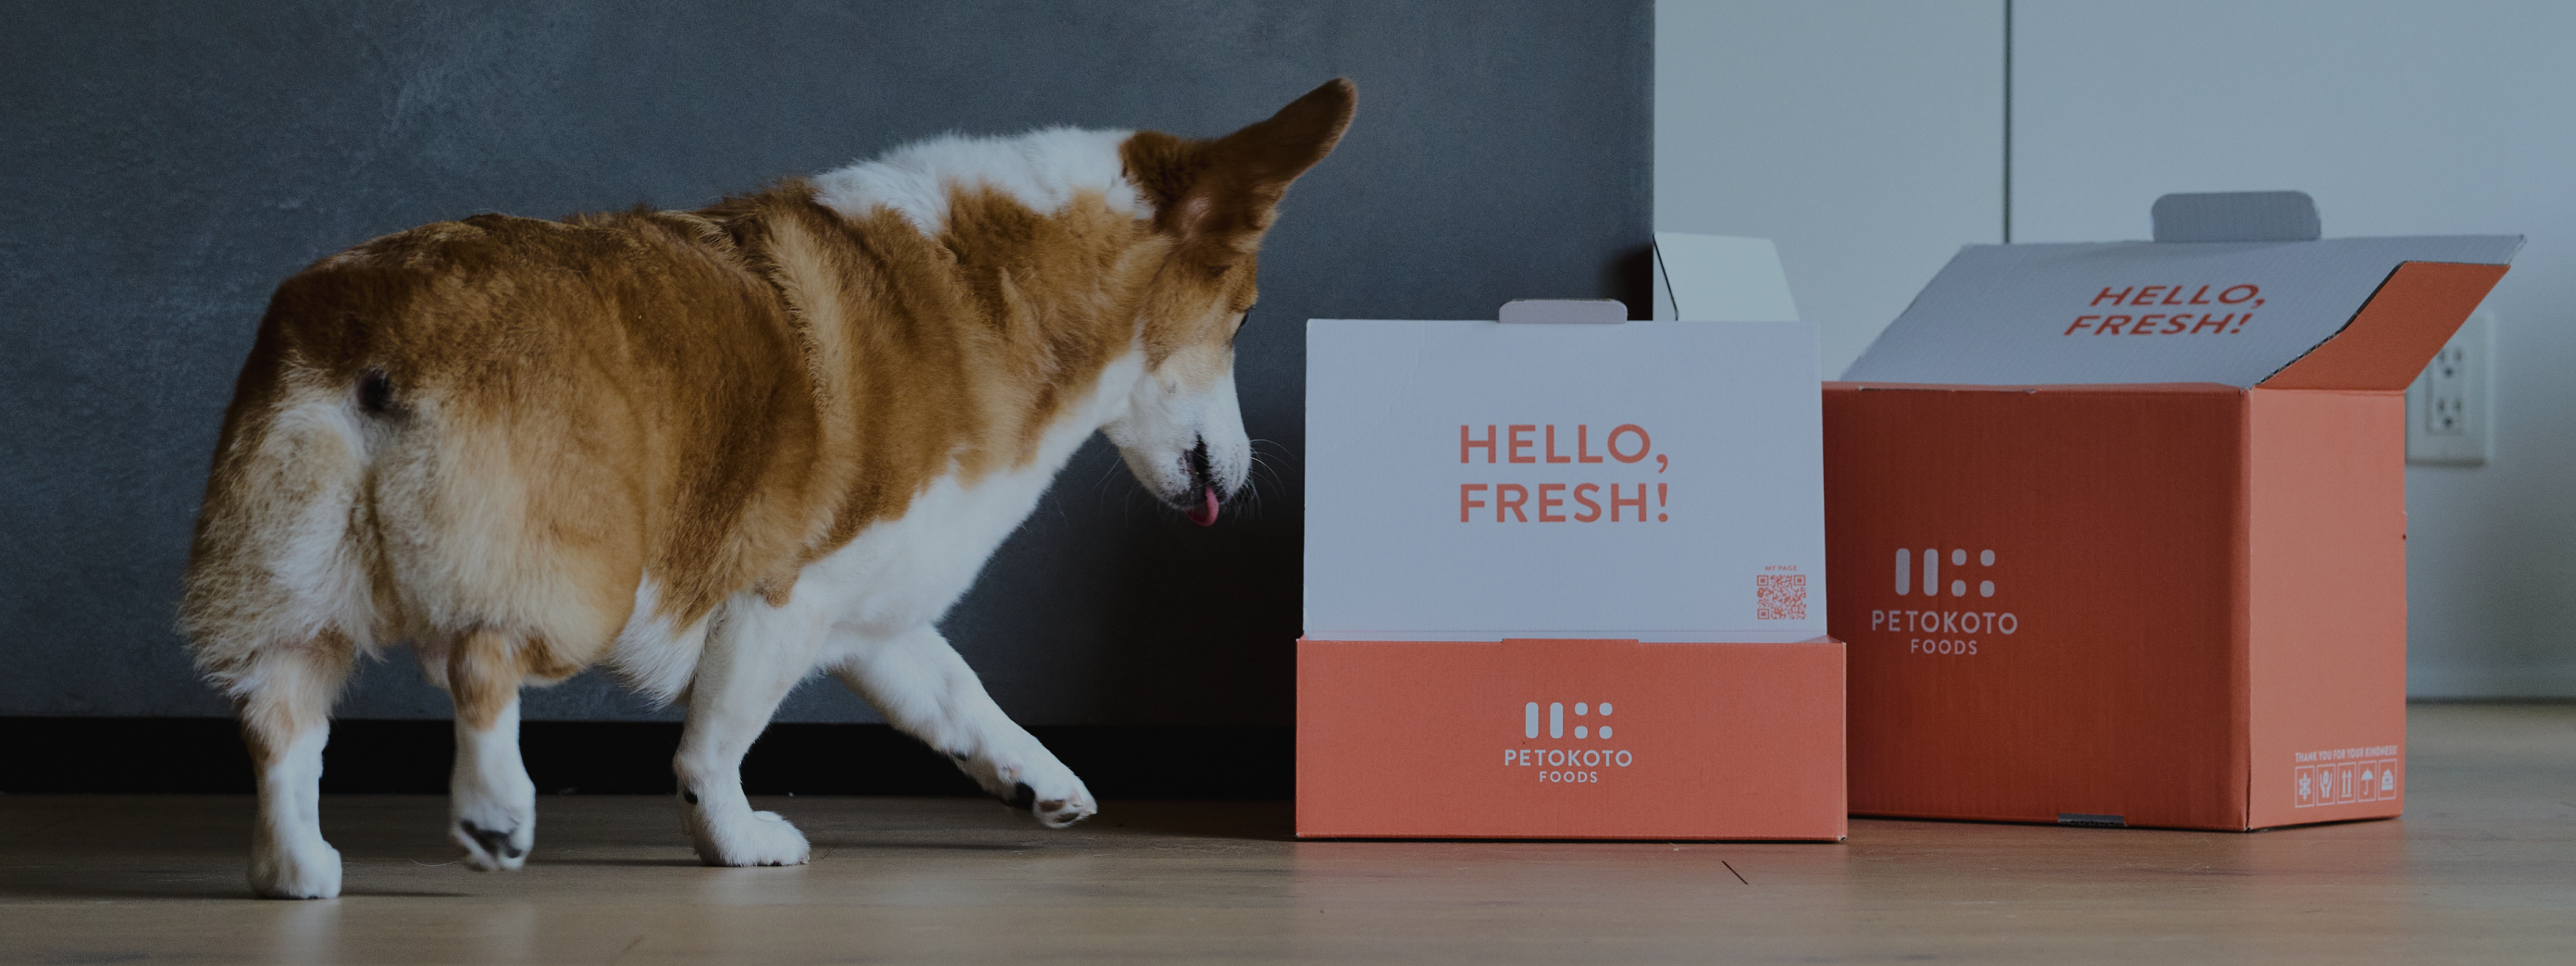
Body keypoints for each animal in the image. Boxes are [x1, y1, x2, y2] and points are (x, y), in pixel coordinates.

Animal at [179, 79, 1354, 899]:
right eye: (1244, 320)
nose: (1242, 475)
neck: (1013, 290)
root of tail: (367, 343)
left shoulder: (877, 613)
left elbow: (961, 696)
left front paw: (1043, 782)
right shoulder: (781, 596)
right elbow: (717, 743)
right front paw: (737, 842)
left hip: (290, 589)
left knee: (281, 721)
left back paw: (294, 870)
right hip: (578, 580)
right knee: (481, 658)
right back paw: (497, 812)